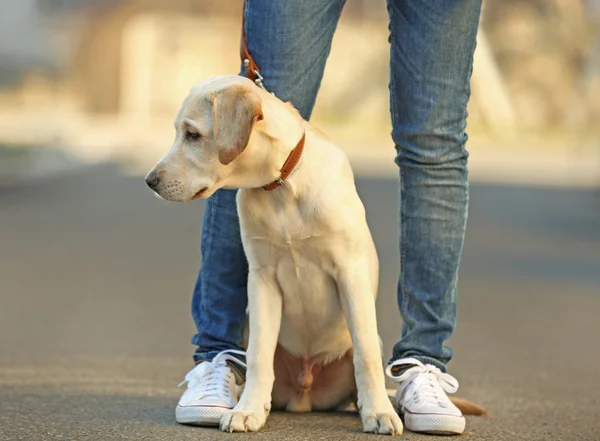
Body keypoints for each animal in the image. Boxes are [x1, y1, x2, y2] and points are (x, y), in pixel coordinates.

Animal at [146, 75, 488, 434]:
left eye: (193, 135)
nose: (149, 181)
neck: (283, 187)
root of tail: (304, 394)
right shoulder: (262, 279)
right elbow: (258, 354)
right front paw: (248, 410)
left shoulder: (350, 272)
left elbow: (365, 355)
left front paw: (379, 413)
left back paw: (374, 404)